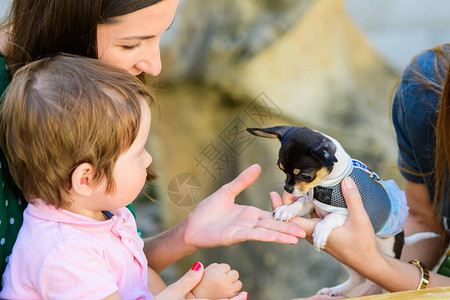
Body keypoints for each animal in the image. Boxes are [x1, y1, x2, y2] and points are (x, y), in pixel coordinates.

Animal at [248, 125, 410, 296]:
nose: (288, 188)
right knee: (359, 279)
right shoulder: (309, 202)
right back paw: (335, 290)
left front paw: (320, 231)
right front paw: (286, 209)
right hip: (348, 260)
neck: (328, 183)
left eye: (305, 176)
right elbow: (298, 205)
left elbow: (330, 218)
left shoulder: (347, 213)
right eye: (281, 169)